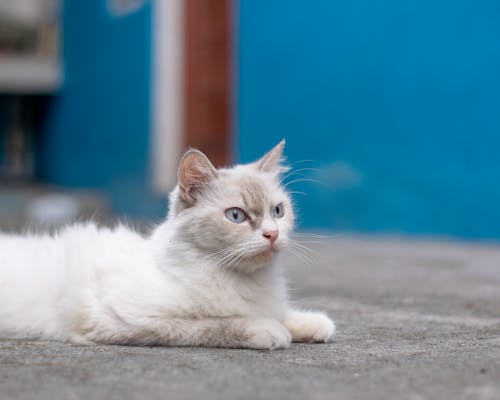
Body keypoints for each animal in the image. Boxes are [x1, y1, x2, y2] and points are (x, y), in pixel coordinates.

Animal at [0, 141, 336, 350]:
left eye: (277, 211)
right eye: (236, 216)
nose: (272, 234)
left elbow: (280, 312)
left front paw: (311, 324)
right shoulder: (129, 319)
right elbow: (215, 324)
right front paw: (268, 330)